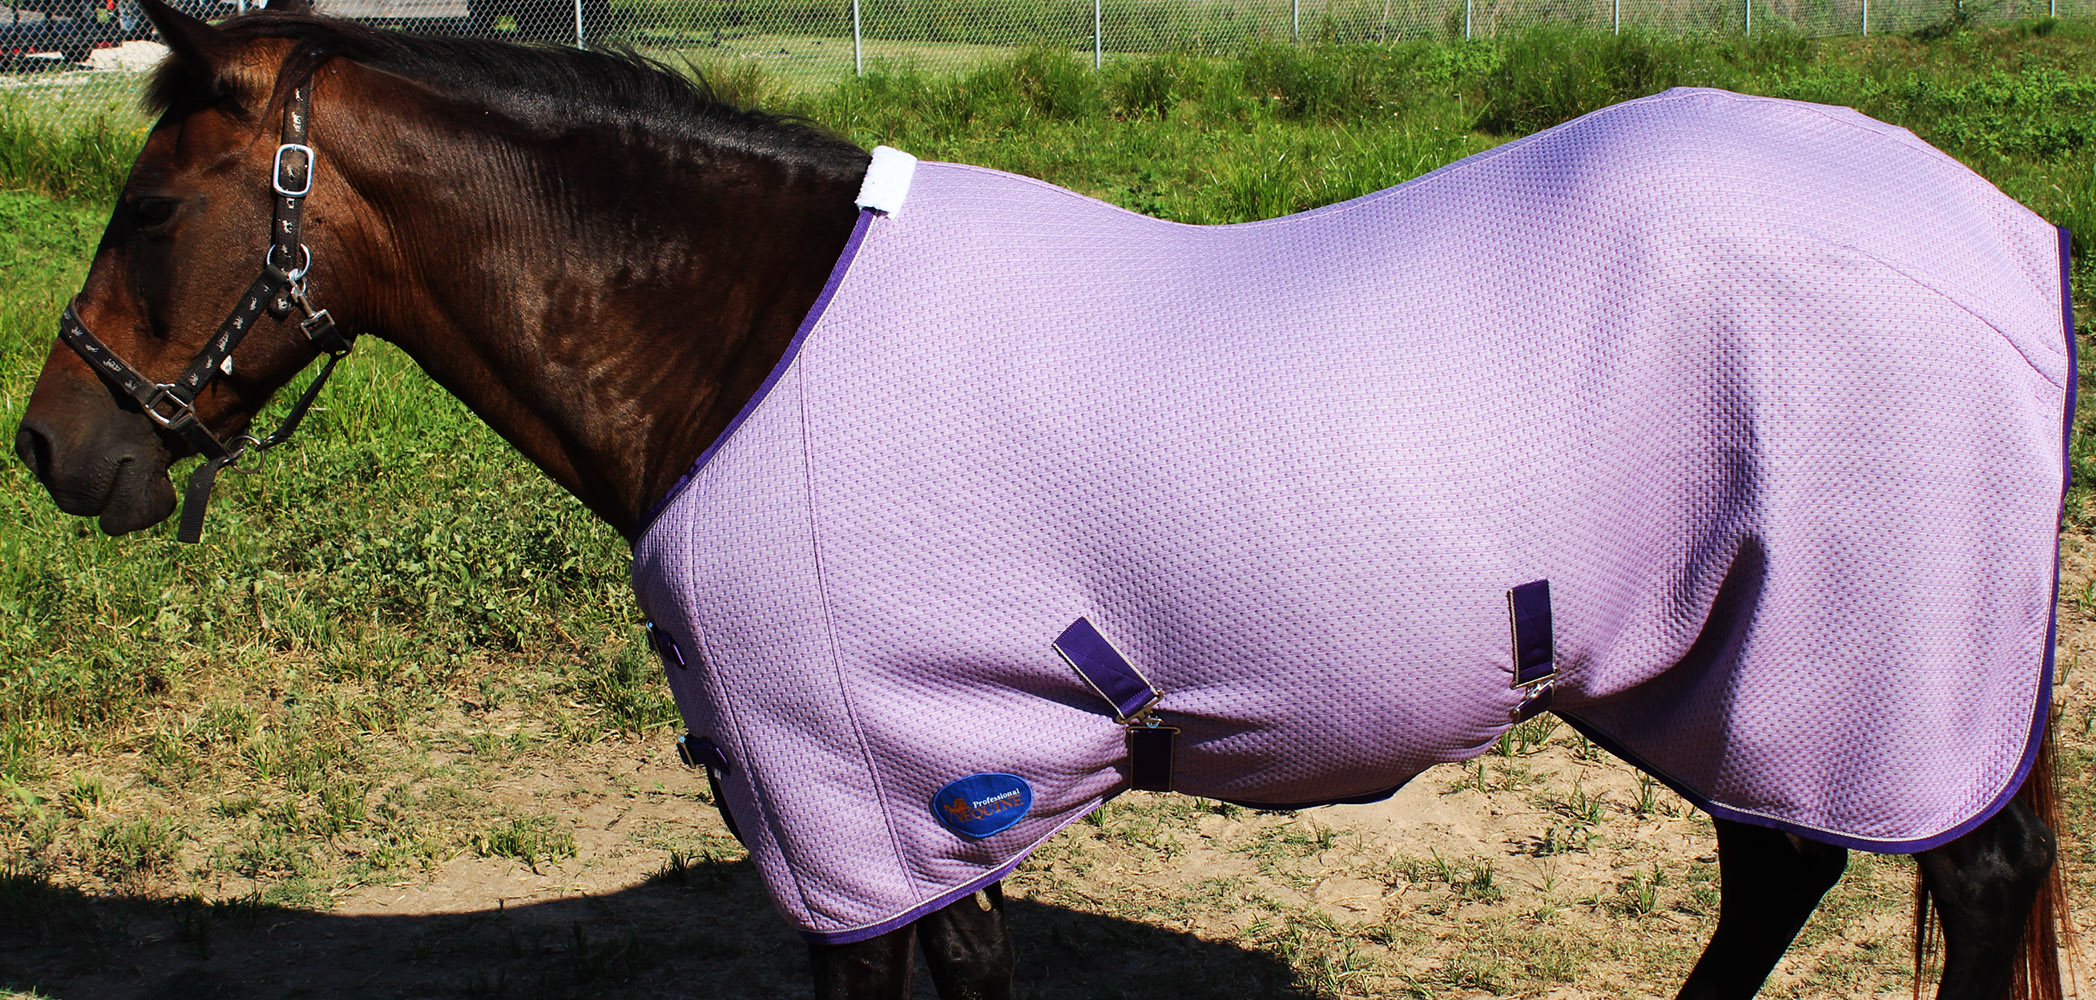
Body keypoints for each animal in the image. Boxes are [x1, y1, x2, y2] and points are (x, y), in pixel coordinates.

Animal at [12, 2, 2076, 997]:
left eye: (151, 208)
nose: (55, 448)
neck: (748, 338)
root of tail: (1993, 228)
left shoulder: (860, 792)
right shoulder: (884, 792)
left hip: (1851, 657)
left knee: (1958, 882)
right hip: (1718, 667)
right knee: (1780, 862)